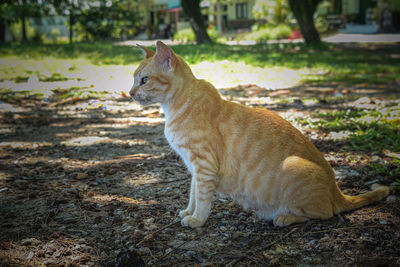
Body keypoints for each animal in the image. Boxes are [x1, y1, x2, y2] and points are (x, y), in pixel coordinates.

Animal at [130, 40, 390, 229]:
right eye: (134, 79)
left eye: (144, 80)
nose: (130, 93)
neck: (174, 107)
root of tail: (337, 191)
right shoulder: (194, 168)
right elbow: (192, 194)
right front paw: (188, 211)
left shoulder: (204, 165)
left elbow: (202, 198)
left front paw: (197, 220)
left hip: (294, 167)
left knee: (323, 213)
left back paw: (283, 217)